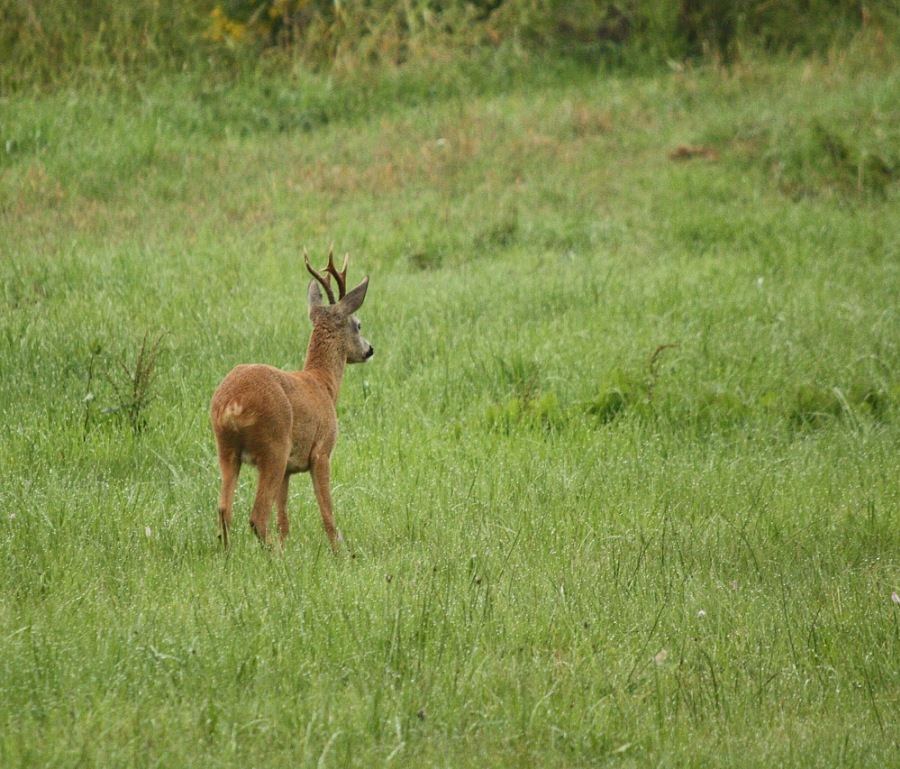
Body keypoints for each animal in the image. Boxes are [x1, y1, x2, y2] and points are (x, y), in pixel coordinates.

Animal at [211, 248, 372, 544]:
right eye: (358, 324)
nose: (369, 349)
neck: (324, 384)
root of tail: (232, 404)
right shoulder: (322, 450)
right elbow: (328, 515)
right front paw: (339, 550)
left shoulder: (288, 469)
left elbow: (284, 521)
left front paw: (287, 546)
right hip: (273, 445)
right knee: (257, 516)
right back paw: (271, 554)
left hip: (226, 449)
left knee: (224, 511)